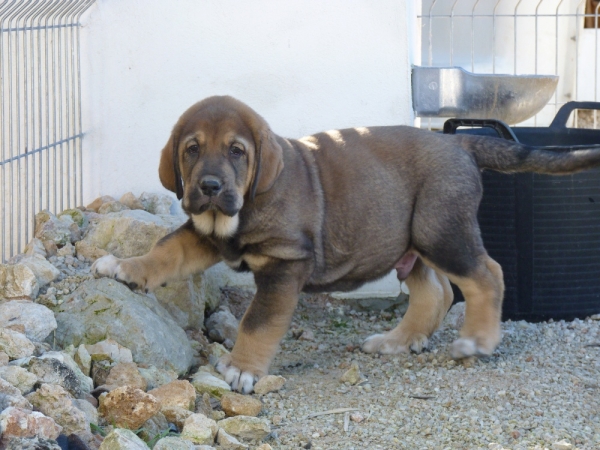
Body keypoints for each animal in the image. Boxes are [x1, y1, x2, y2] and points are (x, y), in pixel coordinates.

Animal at [94, 96, 600, 394]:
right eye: (192, 149)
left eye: (237, 151)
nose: (210, 187)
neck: (240, 211)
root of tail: (460, 146)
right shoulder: (203, 234)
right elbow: (166, 251)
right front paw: (125, 267)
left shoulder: (284, 264)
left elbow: (258, 322)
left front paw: (242, 368)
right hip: (408, 239)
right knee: (435, 292)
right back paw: (397, 341)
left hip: (441, 231)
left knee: (485, 275)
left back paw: (477, 340)